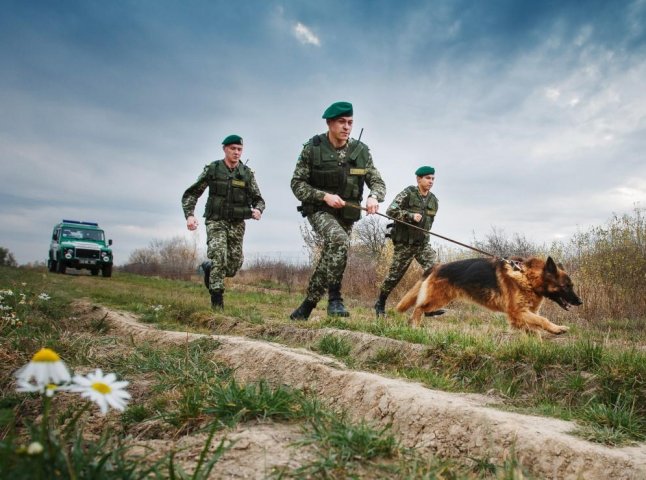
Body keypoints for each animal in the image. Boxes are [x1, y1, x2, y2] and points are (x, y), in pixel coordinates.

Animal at [398, 255, 584, 334]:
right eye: (566, 286)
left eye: (572, 286)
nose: (580, 302)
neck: (527, 278)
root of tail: (437, 266)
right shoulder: (518, 312)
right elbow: (543, 320)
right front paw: (556, 329)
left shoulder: (524, 314)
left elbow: (536, 325)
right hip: (438, 298)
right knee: (418, 308)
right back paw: (414, 326)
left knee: (422, 308)